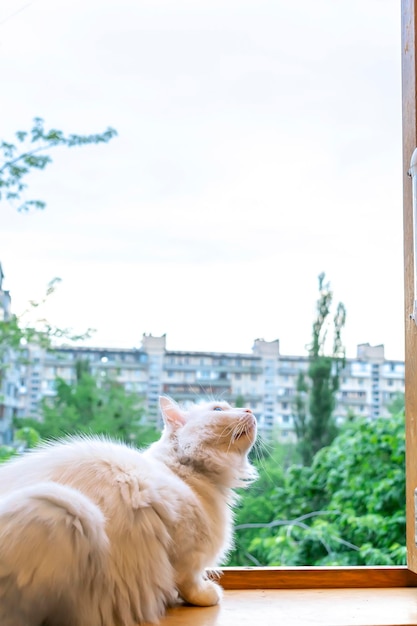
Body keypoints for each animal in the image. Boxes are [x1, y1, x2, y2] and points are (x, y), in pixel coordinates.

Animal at [0, 394, 255, 624]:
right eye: (218, 409)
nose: (250, 410)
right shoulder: (186, 550)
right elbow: (189, 582)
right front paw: (208, 594)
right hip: (69, 508)